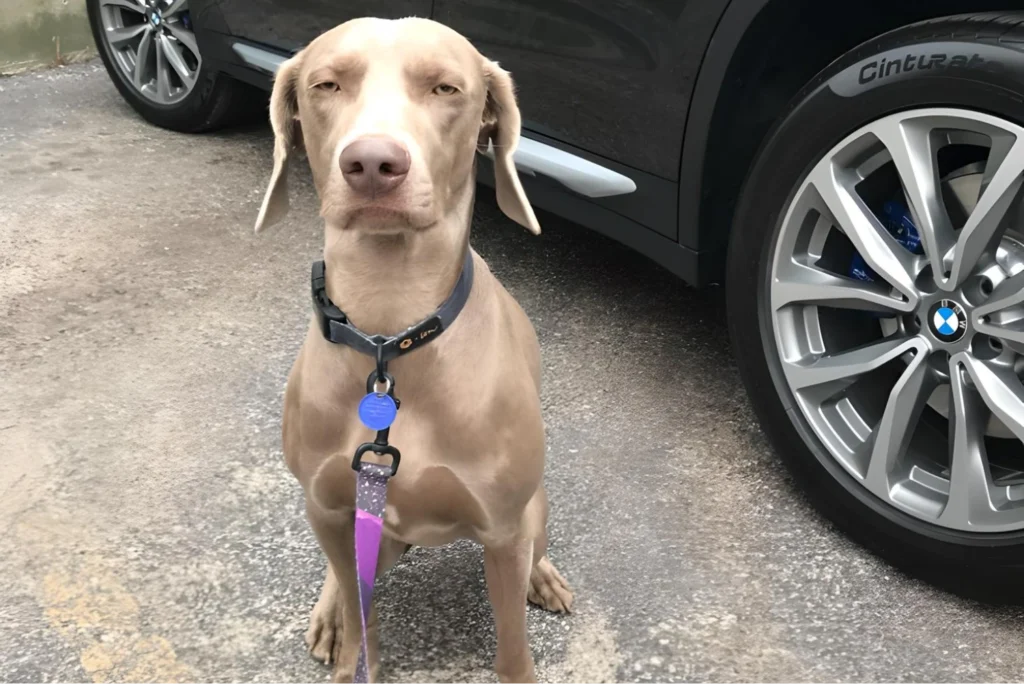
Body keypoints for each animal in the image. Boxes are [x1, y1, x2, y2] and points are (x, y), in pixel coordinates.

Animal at [254, 14, 573, 684]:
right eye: (326, 84)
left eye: (445, 88)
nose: (373, 162)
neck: (389, 334)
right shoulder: (330, 509)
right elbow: (360, 622)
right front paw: (348, 644)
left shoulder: (503, 529)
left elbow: (512, 647)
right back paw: (328, 615)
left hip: (531, 513)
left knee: (535, 551)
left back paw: (545, 578)